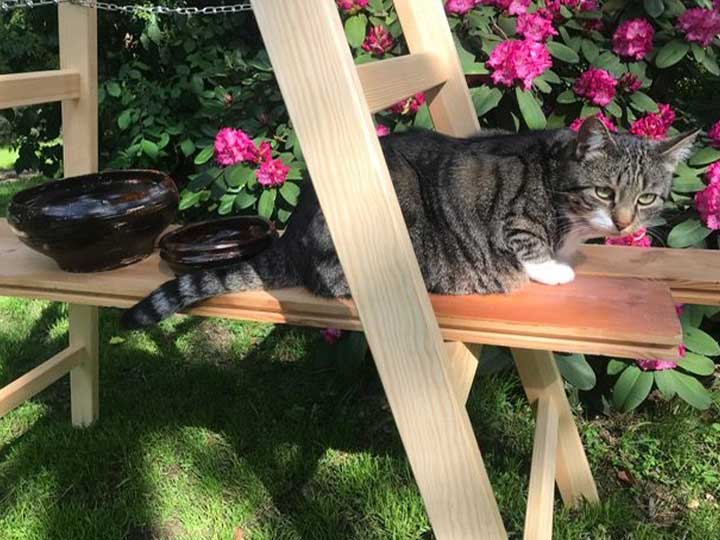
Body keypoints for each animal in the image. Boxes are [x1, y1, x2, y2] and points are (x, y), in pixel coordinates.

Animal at [121, 117, 697, 329]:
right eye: (604, 192)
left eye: (646, 198)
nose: (623, 223)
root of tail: (292, 236)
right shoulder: (513, 217)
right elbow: (528, 245)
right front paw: (555, 268)